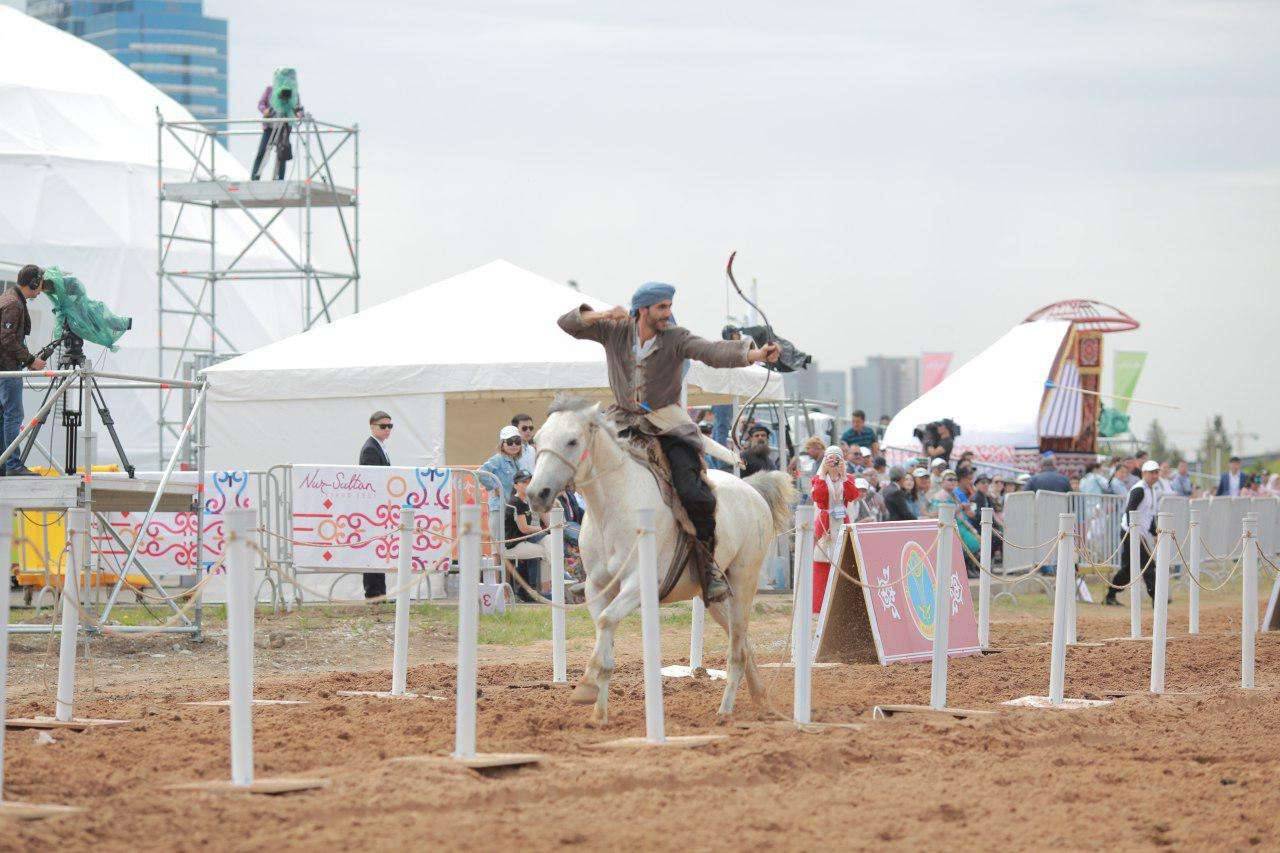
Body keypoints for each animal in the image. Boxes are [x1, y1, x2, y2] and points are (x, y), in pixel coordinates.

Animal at [527, 394, 788, 722]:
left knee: (737, 651)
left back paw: (725, 710)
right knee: (744, 643)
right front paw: (598, 714)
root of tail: (752, 490)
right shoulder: (597, 588)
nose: (537, 493)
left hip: (744, 583)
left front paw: (586, 687)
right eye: (536, 440)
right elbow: (604, 635)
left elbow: (606, 621)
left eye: (572, 441)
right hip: (716, 599)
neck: (614, 510)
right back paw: (761, 700)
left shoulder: (637, 586)